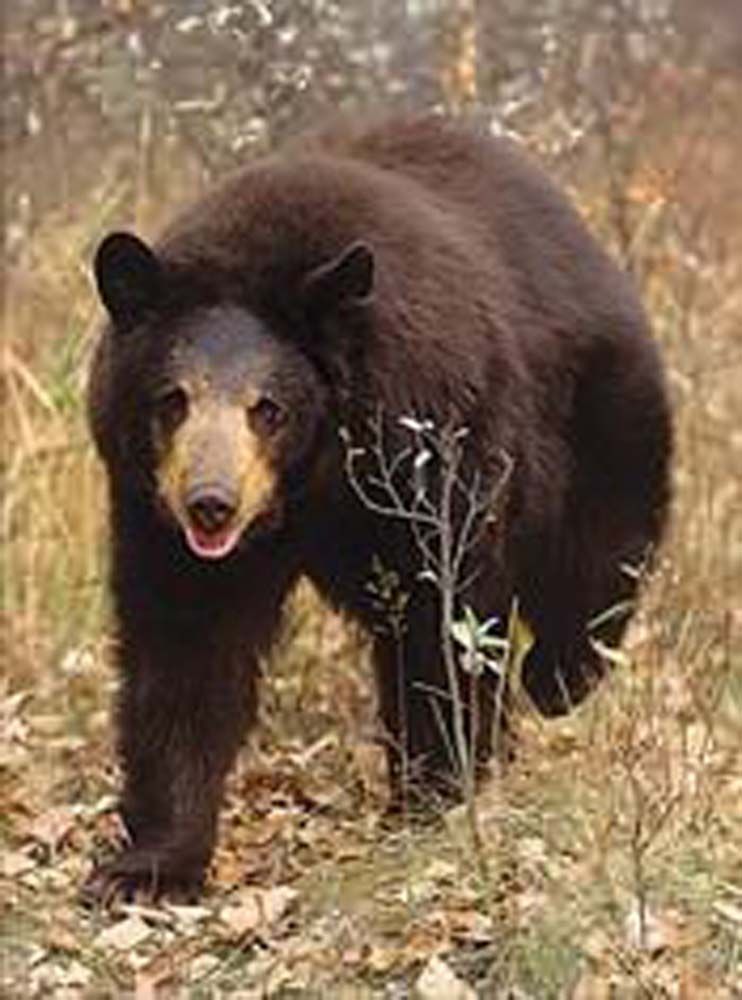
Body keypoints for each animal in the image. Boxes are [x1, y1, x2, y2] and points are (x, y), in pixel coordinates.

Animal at [84, 111, 672, 902]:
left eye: (267, 409)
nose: (210, 505)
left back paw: (556, 679)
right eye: (171, 399)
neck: (310, 482)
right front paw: (147, 865)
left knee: (597, 554)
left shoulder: (431, 434)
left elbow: (443, 617)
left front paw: (434, 794)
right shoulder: (152, 510)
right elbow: (184, 644)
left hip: (598, 411)